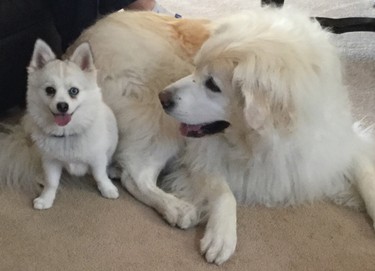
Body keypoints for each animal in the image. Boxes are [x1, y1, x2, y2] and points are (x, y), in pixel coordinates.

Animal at [24, 39, 118, 210]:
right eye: (50, 90)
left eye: (74, 91)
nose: (62, 105)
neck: (66, 133)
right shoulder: (50, 161)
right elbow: (51, 182)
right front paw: (46, 198)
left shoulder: (97, 158)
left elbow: (100, 175)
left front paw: (107, 188)